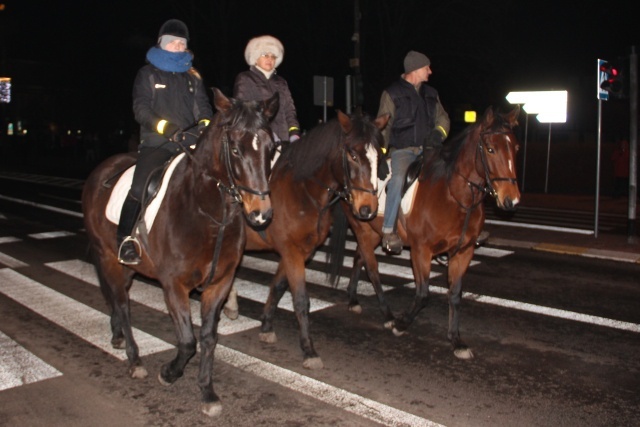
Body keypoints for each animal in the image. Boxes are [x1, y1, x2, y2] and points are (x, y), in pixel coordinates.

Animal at [82, 88, 278, 416]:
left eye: (271, 147)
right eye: (235, 149)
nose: (261, 214)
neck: (206, 210)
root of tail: (101, 170)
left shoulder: (219, 283)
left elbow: (209, 337)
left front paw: (207, 392)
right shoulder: (174, 285)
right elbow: (187, 341)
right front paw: (169, 373)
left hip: (127, 265)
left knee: (117, 296)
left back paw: (118, 335)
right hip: (107, 256)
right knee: (121, 302)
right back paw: (135, 359)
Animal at [230, 112, 390, 370]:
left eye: (379, 154)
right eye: (353, 155)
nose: (368, 209)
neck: (303, 189)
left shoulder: (298, 252)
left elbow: (278, 287)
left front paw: (266, 326)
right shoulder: (292, 252)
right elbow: (301, 300)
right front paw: (309, 350)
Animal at [330, 105, 520, 360]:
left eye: (515, 148)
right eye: (490, 149)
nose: (511, 200)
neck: (453, 195)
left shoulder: (463, 251)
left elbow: (455, 294)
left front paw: (456, 340)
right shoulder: (421, 251)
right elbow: (423, 294)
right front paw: (401, 324)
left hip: (373, 231)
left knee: (359, 257)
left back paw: (352, 298)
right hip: (361, 226)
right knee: (371, 266)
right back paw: (385, 314)